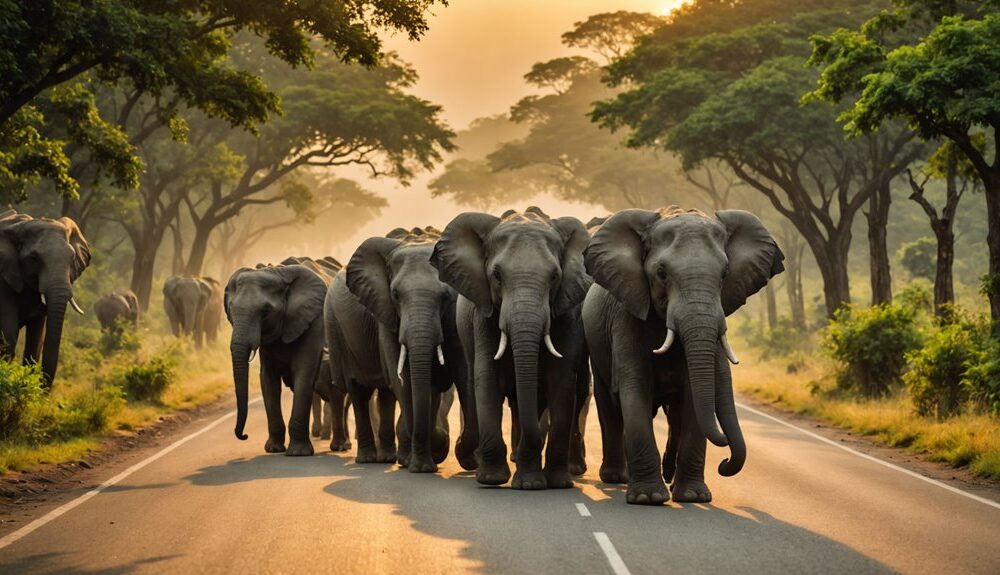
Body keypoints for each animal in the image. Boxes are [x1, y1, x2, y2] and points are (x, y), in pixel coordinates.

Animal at [0, 210, 91, 388]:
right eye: (34, 258)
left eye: (72, 258)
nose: (43, 389)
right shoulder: (3, 279)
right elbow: (9, 333)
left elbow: (36, 338)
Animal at [226, 264, 328, 456]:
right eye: (230, 310)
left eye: (265, 312)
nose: (244, 436)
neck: (278, 273)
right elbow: (268, 379)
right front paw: (273, 449)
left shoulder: (313, 320)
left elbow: (304, 372)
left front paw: (298, 453)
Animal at [348, 225, 480, 472]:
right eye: (395, 294)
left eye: (446, 295)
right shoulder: (386, 314)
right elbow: (402, 379)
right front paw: (422, 466)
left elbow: (463, 372)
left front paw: (463, 458)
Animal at [432, 208, 592, 490]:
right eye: (496, 276)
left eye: (554, 276)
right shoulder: (483, 318)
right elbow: (488, 381)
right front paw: (493, 479)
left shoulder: (568, 316)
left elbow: (561, 384)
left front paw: (548, 483)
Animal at [584, 207, 784, 504]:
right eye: (661, 273)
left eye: (725, 273)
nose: (724, 463)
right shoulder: (625, 316)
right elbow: (635, 388)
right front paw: (647, 498)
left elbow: (694, 397)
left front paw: (692, 496)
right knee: (610, 405)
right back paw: (617, 478)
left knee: (674, 413)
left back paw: (667, 475)